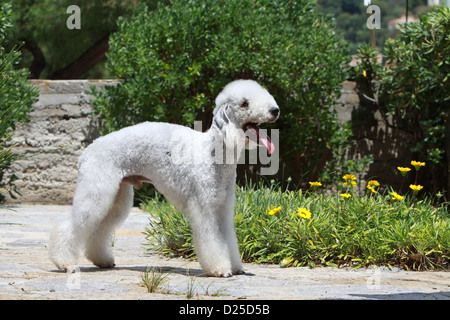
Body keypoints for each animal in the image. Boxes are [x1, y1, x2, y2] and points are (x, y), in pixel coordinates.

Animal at [51, 79, 280, 276]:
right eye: (244, 103)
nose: (275, 111)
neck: (213, 153)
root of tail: (87, 152)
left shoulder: (223, 208)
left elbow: (228, 239)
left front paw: (236, 266)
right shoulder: (204, 208)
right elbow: (212, 241)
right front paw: (220, 269)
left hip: (116, 194)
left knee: (99, 229)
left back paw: (102, 261)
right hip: (97, 188)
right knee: (71, 226)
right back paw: (65, 264)